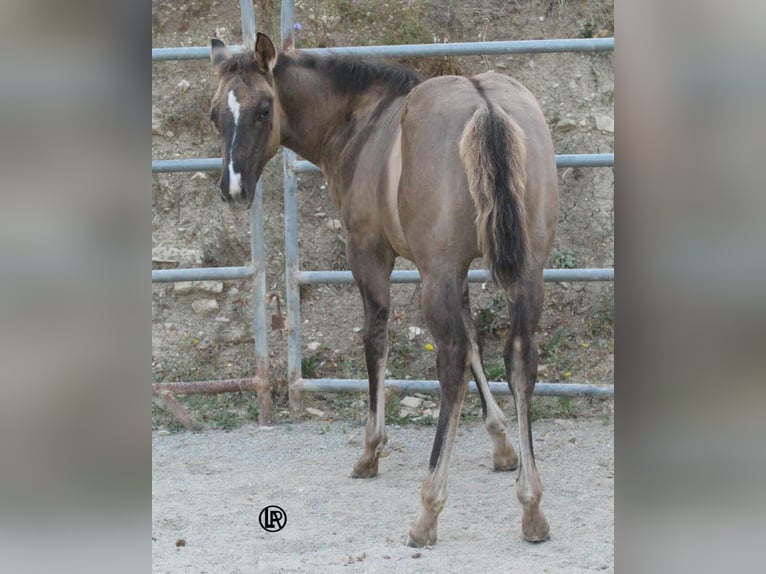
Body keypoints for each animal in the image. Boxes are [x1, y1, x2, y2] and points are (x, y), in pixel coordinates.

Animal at [208, 33, 559, 547]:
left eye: (263, 108)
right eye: (216, 114)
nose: (233, 189)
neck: (365, 124)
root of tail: (486, 108)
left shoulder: (372, 254)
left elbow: (376, 339)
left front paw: (370, 451)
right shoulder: (459, 271)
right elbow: (478, 343)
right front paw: (501, 445)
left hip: (437, 273)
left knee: (451, 362)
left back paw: (428, 510)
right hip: (525, 271)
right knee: (519, 358)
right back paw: (531, 507)